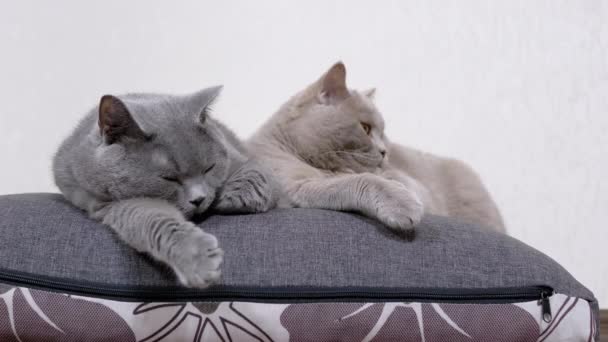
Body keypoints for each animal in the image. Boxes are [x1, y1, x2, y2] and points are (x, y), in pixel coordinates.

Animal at [53, 87, 276, 288]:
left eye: (209, 168)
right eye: (169, 178)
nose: (199, 198)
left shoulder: (242, 157)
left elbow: (256, 170)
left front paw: (237, 197)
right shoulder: (106, 203)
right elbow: (152, 217)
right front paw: (198, 259)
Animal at [249, 61, 506, 234]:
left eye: (383, 133)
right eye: (365, 128)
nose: (384, 151)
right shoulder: (297, 186)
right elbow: (361, 180)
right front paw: (403, 203)